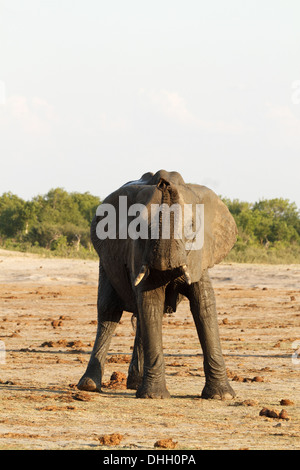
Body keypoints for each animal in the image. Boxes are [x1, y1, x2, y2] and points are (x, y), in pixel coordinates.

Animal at [77, 171, 237, 398]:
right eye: (138, 228)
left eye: (192, 229)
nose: (165, 183)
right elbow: (150, 300)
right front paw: (155, 396)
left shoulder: (199, 257)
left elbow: (204, 305)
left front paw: (221, 396)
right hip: (106, 261)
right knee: (109, 312)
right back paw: (90, 386)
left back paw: (134, 384)